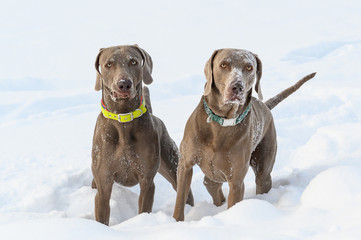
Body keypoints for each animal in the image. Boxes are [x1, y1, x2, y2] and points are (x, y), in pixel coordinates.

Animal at [90, 44, 193, 225]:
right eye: (109, 64)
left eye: (133, 61)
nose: (124, 84)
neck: (123, 119)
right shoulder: (103, 185)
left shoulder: (147, 182)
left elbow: (144, 206)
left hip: (174, 165)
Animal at [172, 47, 316, 220]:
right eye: (223, 65)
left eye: (249, 67)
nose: (237, 87)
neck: (221, 122)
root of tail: (265, 105)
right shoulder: (185, 165)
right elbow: (180, 200)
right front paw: (176, 221)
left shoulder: (236, 180)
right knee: (210, 184)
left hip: (263, 166)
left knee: (261, 180)